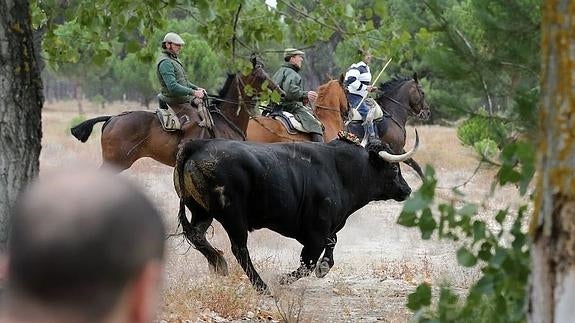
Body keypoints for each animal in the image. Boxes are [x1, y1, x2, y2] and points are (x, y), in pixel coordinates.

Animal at [173, 130, 420, 292]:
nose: (407, 190)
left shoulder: (327, 228)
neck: (340, 171)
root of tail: (197, 146)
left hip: (202, 211)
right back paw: (262, 287)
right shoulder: (315, 232)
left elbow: (330, 246)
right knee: (240, 249)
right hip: (233, 216)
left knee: (197, 236)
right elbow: (307, 262)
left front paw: (324, 267)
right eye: (394, 168)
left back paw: (218, 263)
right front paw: (282, 280)